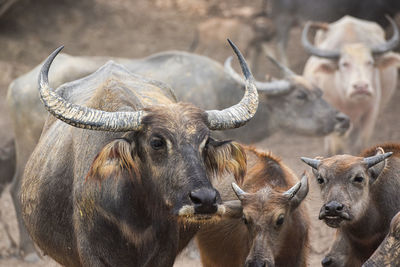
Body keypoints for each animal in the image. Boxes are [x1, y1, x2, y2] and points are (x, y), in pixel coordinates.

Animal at [304, 15, 400, 155]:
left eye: (370, 62)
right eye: (344, 64)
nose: (361, 87)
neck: (350, 102)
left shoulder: (370, 113)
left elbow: (359, 145)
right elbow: (337, 147)